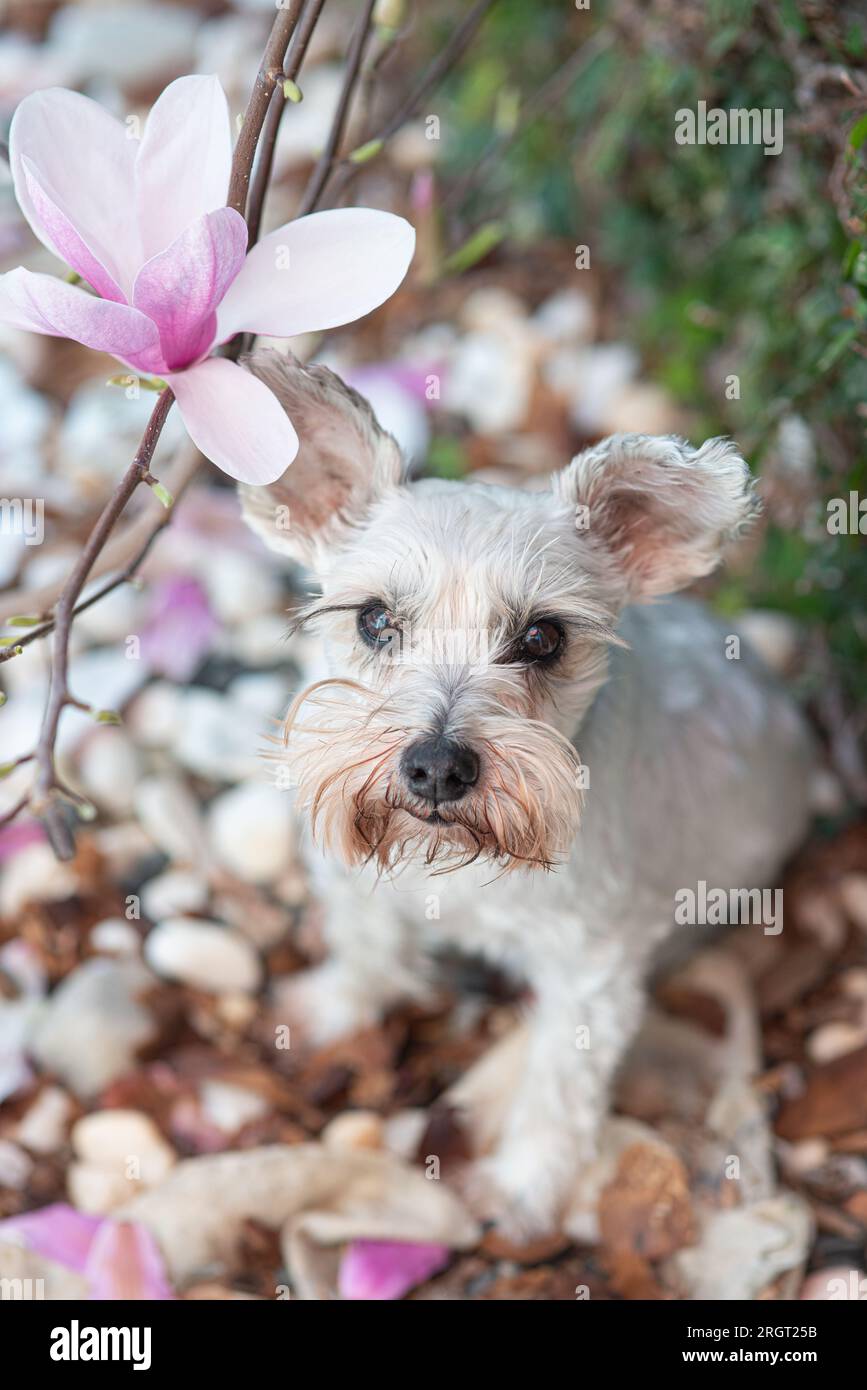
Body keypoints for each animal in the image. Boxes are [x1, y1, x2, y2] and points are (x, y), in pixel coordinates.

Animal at [234, 353, 811, 1234]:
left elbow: (557, 1088)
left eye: (542, 638)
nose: (436, 767)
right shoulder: (354, 874)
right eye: (373, 620)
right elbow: (366, 945)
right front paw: (335, 1006)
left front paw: (523, 1186)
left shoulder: (591, 976)